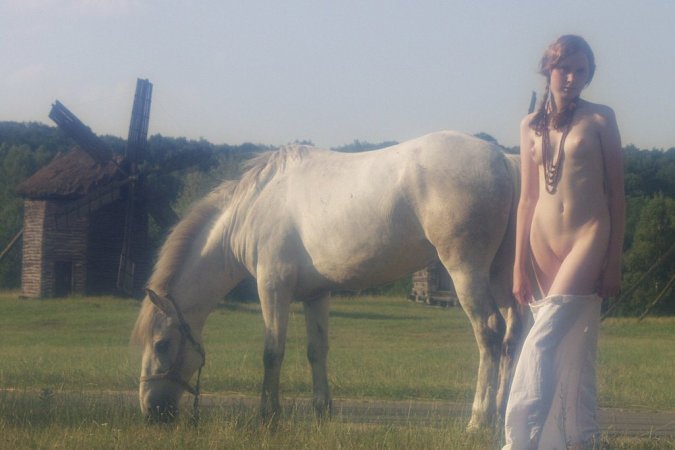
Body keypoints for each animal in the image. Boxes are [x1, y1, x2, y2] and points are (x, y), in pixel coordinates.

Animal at [131, 130, 523, 429]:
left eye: (162, 344)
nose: (151, 411)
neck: (252, 208)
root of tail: (504, 161)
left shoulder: (272, 288)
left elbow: (272, 352)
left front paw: (267, 415)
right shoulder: (315, 294)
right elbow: (316, 350)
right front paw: (322, 410)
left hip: (466, 270)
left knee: (489, 331)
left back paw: (479, 419)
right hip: (499, 277)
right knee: (512, 333)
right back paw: (503, 415)